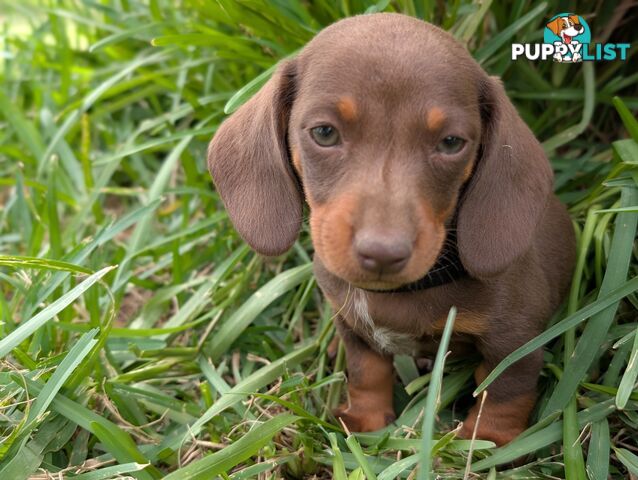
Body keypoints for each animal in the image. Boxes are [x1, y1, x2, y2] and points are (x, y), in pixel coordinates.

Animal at [208, 12, 576, 446]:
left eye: (451, 142)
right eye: (324, 132)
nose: (382, 253)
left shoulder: (515, 338)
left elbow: (503, 390)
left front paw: (485, 441)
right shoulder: (351, 324)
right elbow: (366, 371)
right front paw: (365, 420)